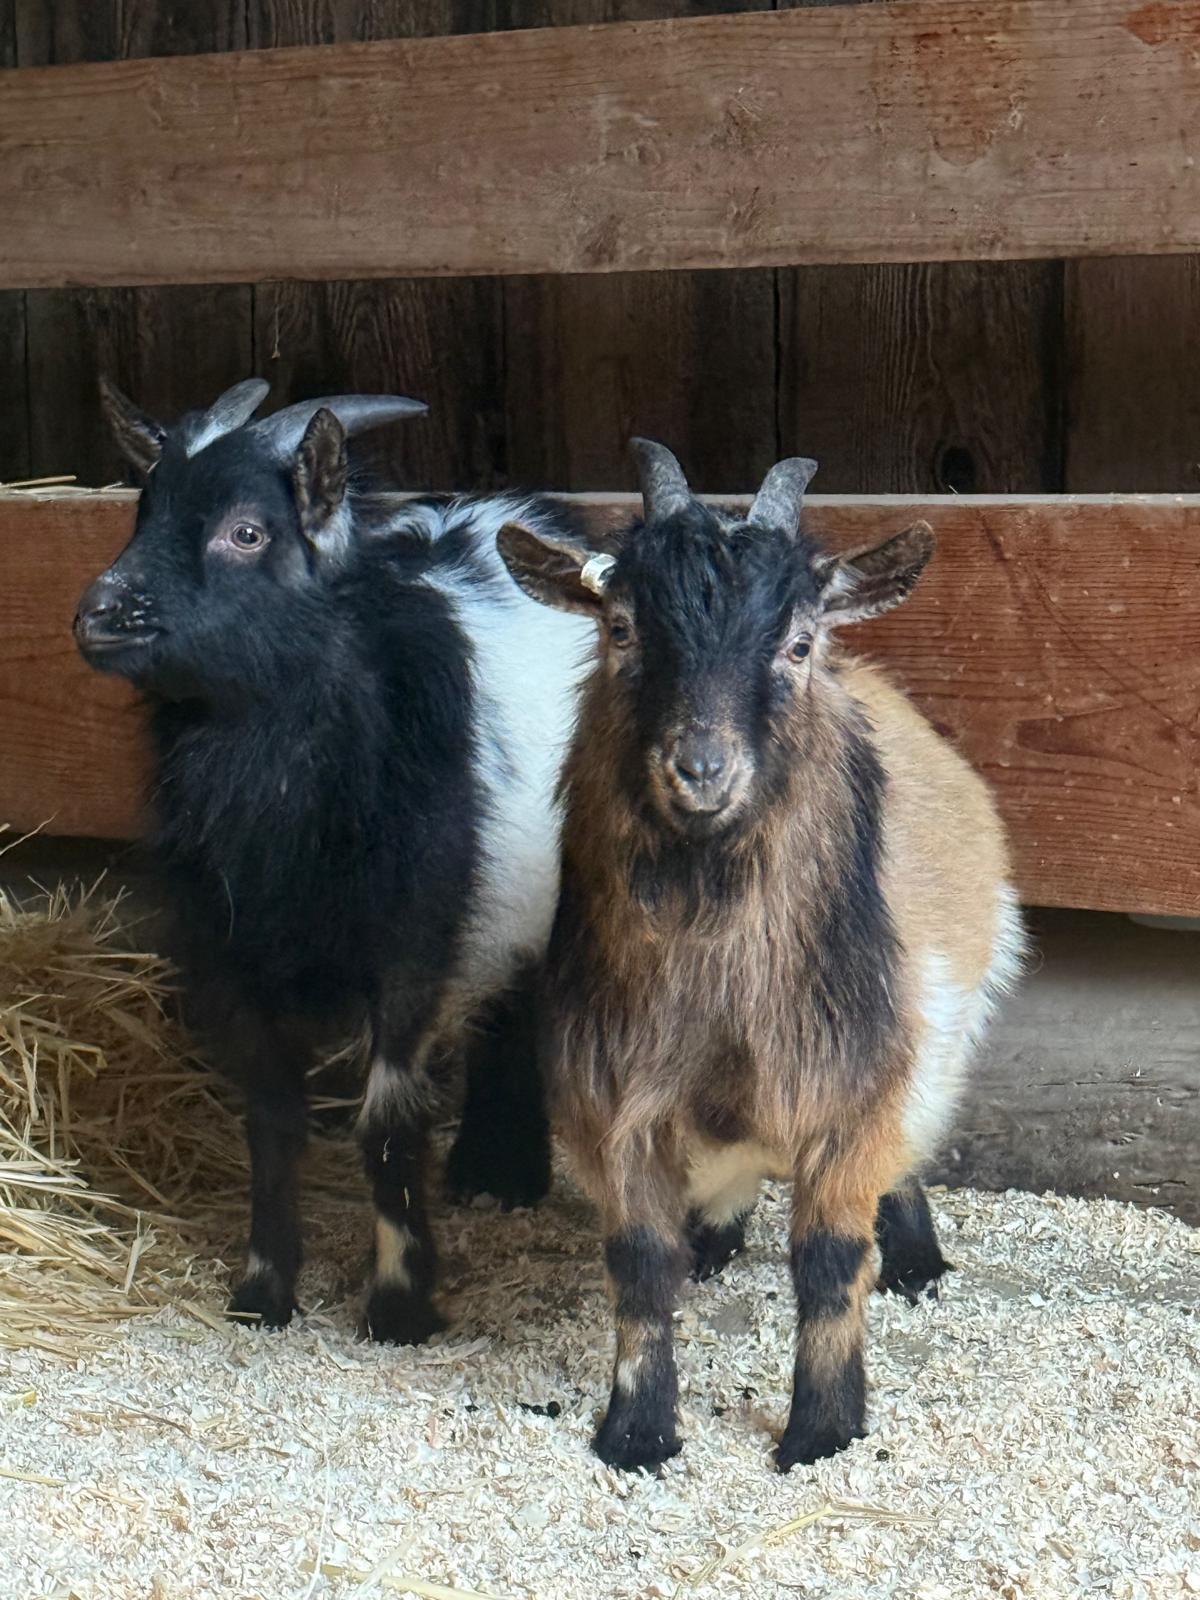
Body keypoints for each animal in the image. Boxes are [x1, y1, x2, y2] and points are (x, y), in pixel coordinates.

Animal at [74, 378, 592, 1341]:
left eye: (247, 532)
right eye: (142, 510)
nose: (97, 615)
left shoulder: (414, 946)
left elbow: (385, 1124)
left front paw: (398, 1304)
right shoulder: (237, 953)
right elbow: (273, 1123)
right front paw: (262, 1291)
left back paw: (505, 1176)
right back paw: (488, 1175)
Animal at [496, 441, 1023, 1472]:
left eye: (798, 644)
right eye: (620, 629)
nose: (702, 768)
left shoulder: (856, 1086)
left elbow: (828, 1261)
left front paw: (820, 1429)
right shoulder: (614, 1100)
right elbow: (638, 1264)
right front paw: (637, 1431)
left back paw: (914, 1264)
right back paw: (715, 1242)